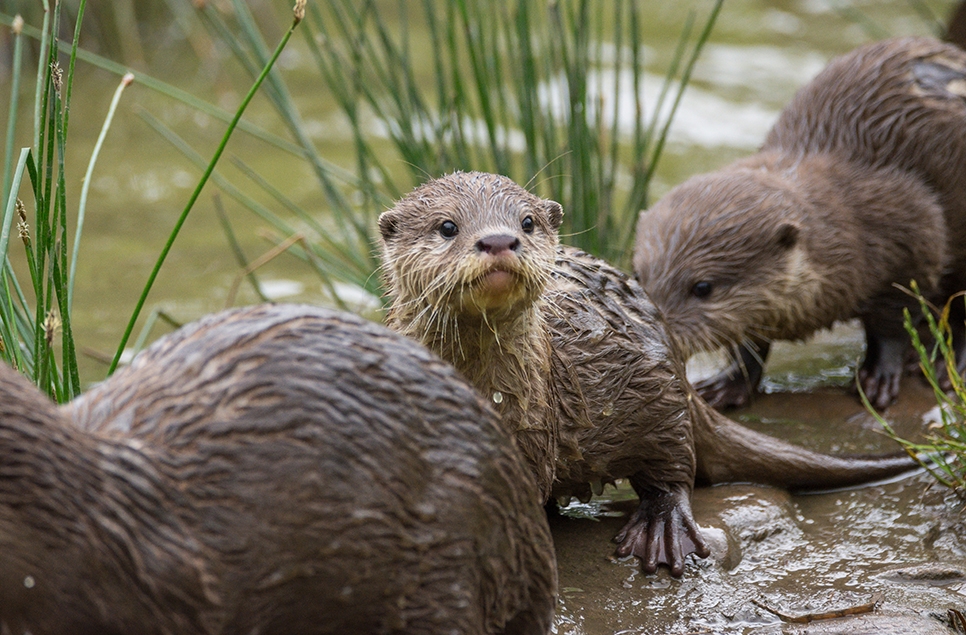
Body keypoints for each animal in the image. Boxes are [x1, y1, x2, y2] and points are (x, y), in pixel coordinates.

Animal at [374, 171, 920, 580]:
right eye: (447, 226)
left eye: (526, 222)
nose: (499, 239)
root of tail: (678, 362)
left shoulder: (532, 433)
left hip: (661, 401)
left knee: (675, 470)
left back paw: (662, 529)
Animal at [636, 37, 966, 410]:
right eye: (638, 276)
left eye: (703, 287)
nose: (658, 337)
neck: (853, 225)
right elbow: (750, 345)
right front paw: (729, 383)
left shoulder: (914, 241)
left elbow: (892, 325)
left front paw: (879, 378)